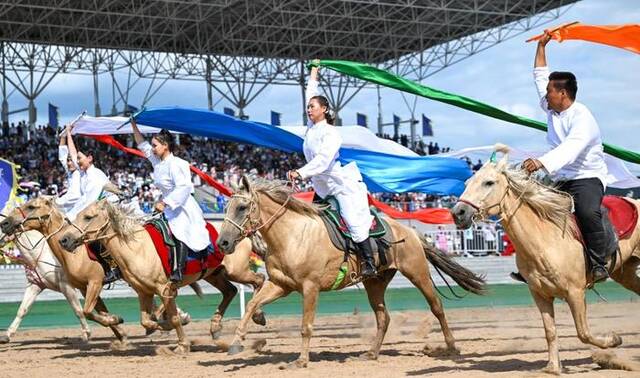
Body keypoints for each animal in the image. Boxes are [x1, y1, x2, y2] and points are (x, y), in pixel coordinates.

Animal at [0, 196, 130, 346]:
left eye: (31, 206)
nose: (4, 224)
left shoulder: (84, 284)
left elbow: (81, 311)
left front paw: (88, 333)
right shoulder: (41, 285)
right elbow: (22, 310)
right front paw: (119, 330)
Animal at [55, 199, 264, 352]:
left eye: (88, 217)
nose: (64, 240)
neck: (137, 248)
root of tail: (241, 232)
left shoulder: (164, 289)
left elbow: (172, 318)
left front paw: (182, 344)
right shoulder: (143, 292)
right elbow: (146, 321)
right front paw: (120, 320)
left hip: (236, 271)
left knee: (258, 280)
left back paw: (258, 315)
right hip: (213, 274)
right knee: (230, 291)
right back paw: (216, 327)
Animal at [215, 177, 484, 370]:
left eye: (242, 207)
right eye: (226, 207)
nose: (223, 243)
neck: (293, 235)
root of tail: (409, 231)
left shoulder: (310, 288)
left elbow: (306, 326)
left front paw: (301, 361)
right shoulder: (281, 285)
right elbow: (252, 304)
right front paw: (237, 341)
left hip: (418, 273)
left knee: (436, 306)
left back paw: (451, 346)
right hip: (375, 283)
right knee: (383, 318)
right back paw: (372, 353)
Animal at [450, 146, 640, 374]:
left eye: (489, 182)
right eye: (467, 183)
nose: (458, 213)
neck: (545, 241)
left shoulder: (576, 292)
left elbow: (583, 332)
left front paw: (614, 340)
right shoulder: (539, 294)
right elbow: (550, 331)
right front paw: (552, 367)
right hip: (626, 274)